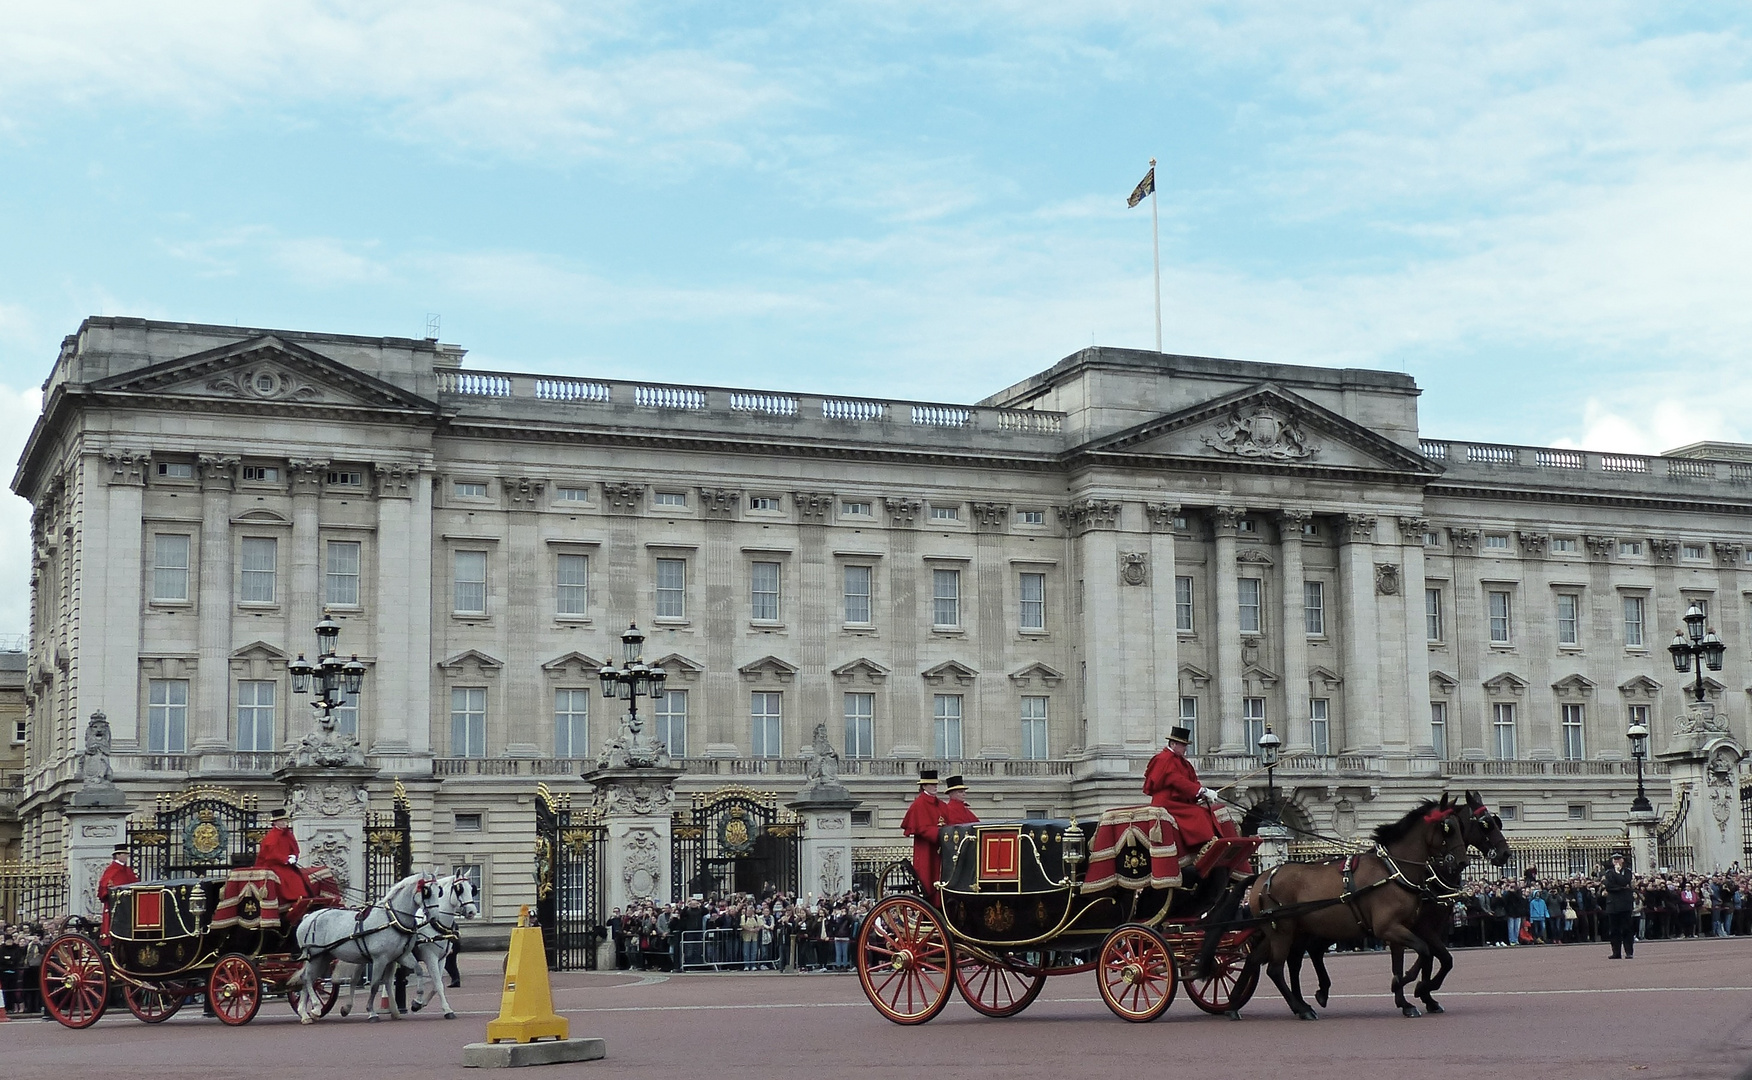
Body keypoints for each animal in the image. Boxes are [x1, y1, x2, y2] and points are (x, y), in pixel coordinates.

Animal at [294, 873, 427, 1023]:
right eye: (429, 891)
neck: (392, 919)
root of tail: (307, 916)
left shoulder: (399, 957)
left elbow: (415, 971)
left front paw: (415, 1003)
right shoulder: (380, 959)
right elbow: (375, 985)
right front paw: (371, 1012)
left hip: (323, 957)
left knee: (309, 978)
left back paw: (305, 1014)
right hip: (314, 956)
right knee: (307, 978)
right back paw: (315, 1008)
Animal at [1240, 788, 1471, 1016]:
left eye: (1461, 826)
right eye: (1447, 827)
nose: (1462, 862)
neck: (1394, 870)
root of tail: (1263, 876)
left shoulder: (1401, 928)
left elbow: (1403, 962)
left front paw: (1405, 1000)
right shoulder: (1389, 928)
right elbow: (1424, 951)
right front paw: (1408, 984)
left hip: (1292, 931)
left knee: (1266, 961)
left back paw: (1240, 1005)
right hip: (1283, 931)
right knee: (1276, 969)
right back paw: (1301, 1008)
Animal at [1289, 792, 1520, 1009]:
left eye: (1496, 821)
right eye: (1485, 824)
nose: (1505, 853)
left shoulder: (1428, 926)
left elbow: (1432, 958)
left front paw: (1422, 993)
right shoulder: (1417, 927)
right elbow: (1437, 958)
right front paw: (1418, 989)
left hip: (1334, 925)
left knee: (1314, 950)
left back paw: (1320, 993)